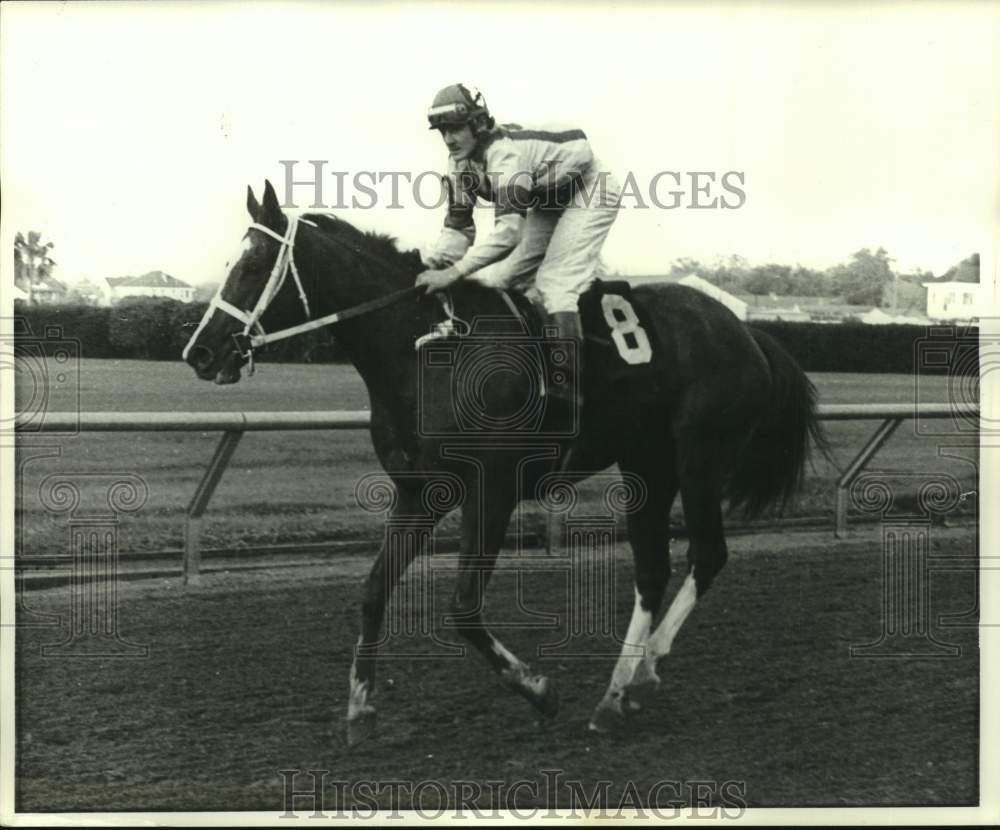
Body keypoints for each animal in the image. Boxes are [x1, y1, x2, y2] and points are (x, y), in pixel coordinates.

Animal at [184, 180, 824, 748]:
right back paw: (617, 694)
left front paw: (538, 689)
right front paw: (361, 711)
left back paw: (639, 679)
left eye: (252, 264)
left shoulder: (491, 489)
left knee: (707, 554)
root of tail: (747, 332)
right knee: (651, 570)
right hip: (646, 465)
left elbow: (464, 608)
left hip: (699, 458)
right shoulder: (418, 492)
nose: (200, 352)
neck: (428, 348)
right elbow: (371, 592)